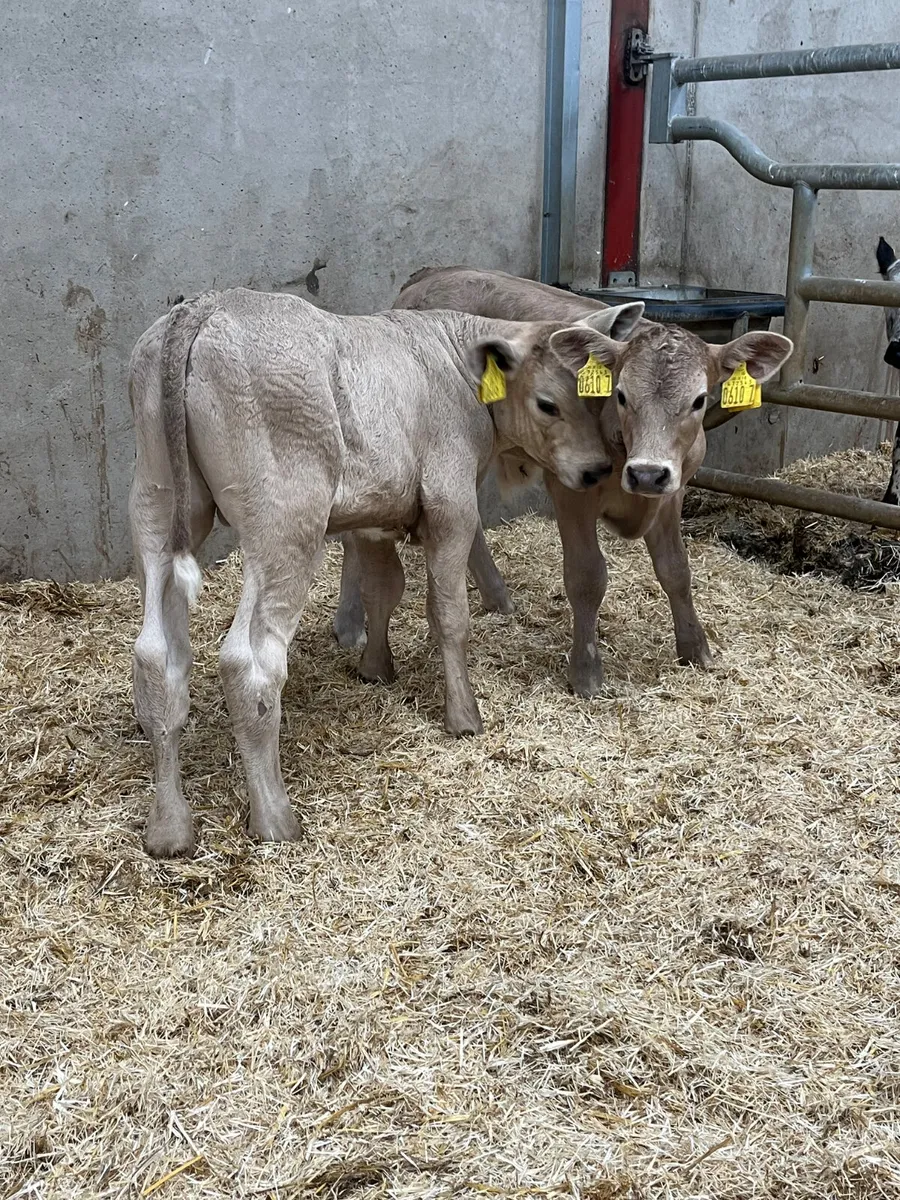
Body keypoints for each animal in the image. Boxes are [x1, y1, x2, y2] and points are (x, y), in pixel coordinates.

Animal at [129, 287, 645, 857]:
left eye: (598, 398)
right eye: (547, 403)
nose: (597, 470)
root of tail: (207, 304)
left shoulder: (375, 515)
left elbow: (383, 590)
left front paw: (376, 668)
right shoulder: (451, 503)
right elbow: (448, 613)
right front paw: (464, 718)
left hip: (157, 502)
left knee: (156, 656)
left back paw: (169, 828)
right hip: (285, 520)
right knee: (250, 662)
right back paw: (275, 818)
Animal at [334, 267, 793, 697]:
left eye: (699, 400)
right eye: (621, 395)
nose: (646, 473)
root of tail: (432, 274)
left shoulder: (673, 491)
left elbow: (676, 569)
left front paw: (695, 648)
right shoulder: (572, 489)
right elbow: (587, 577)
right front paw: (586, 672)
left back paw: (498, 598)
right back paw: (350, 624)